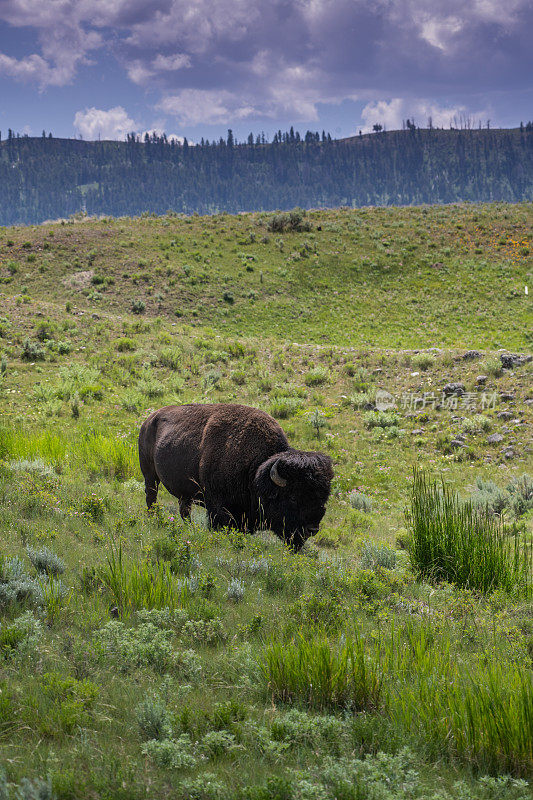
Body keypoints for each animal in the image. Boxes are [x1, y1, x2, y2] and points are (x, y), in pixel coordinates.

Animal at [139, 400, 334, 552]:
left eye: (324, 497)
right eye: (293, 497)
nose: (312, 528)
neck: (254, 470)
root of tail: (149, 420)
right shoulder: (218, 508)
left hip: (183, 493)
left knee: (184, 510)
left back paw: (189, 528)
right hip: (150, 476)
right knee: (151, 498)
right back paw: (154, 519)